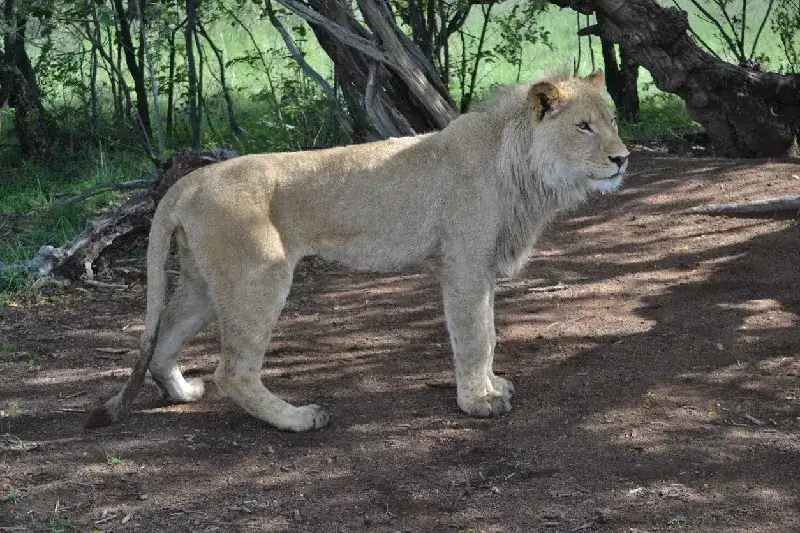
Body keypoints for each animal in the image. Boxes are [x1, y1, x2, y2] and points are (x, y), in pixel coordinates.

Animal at [85, 69, 629, 432]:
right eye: (583, 127)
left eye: (612, 120)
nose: (623, 158)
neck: (524, 168)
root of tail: (189, 180)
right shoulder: (464, 264)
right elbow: (477, 335)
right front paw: (479, 402)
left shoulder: (481, 268)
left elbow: (489, 332)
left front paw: (493, 386)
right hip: (258, 276)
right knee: (233, 370)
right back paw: (297, 417)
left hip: (203, 281)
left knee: (163, 338)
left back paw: (181, 392)